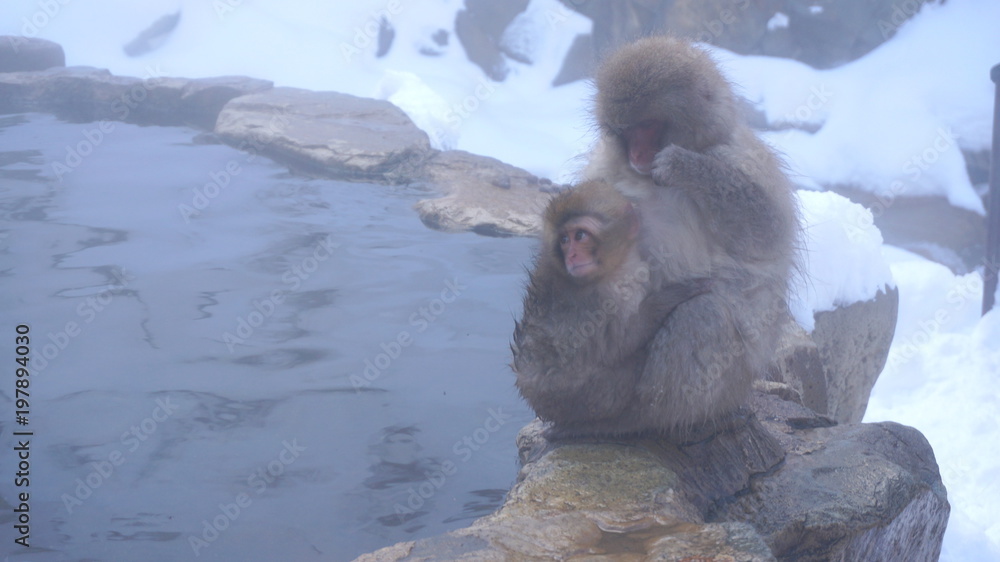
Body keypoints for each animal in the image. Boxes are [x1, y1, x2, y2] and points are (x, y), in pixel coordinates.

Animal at [512, 179, 710, 431]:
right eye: (564, 240)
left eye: (580, 235)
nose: (571, 256)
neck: (617, 267)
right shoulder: (590, 303)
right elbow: (620, 342)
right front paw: (673, 295)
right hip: (588, 401)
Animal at [558, 35, 801, 437]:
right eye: (625, 131)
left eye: (649, 125)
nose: (637, 153)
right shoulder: (603, 170)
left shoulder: (738, 155)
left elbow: (766, 233)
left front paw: (684, 166)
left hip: (732, 380)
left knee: (702, 312)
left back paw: (643, 420)